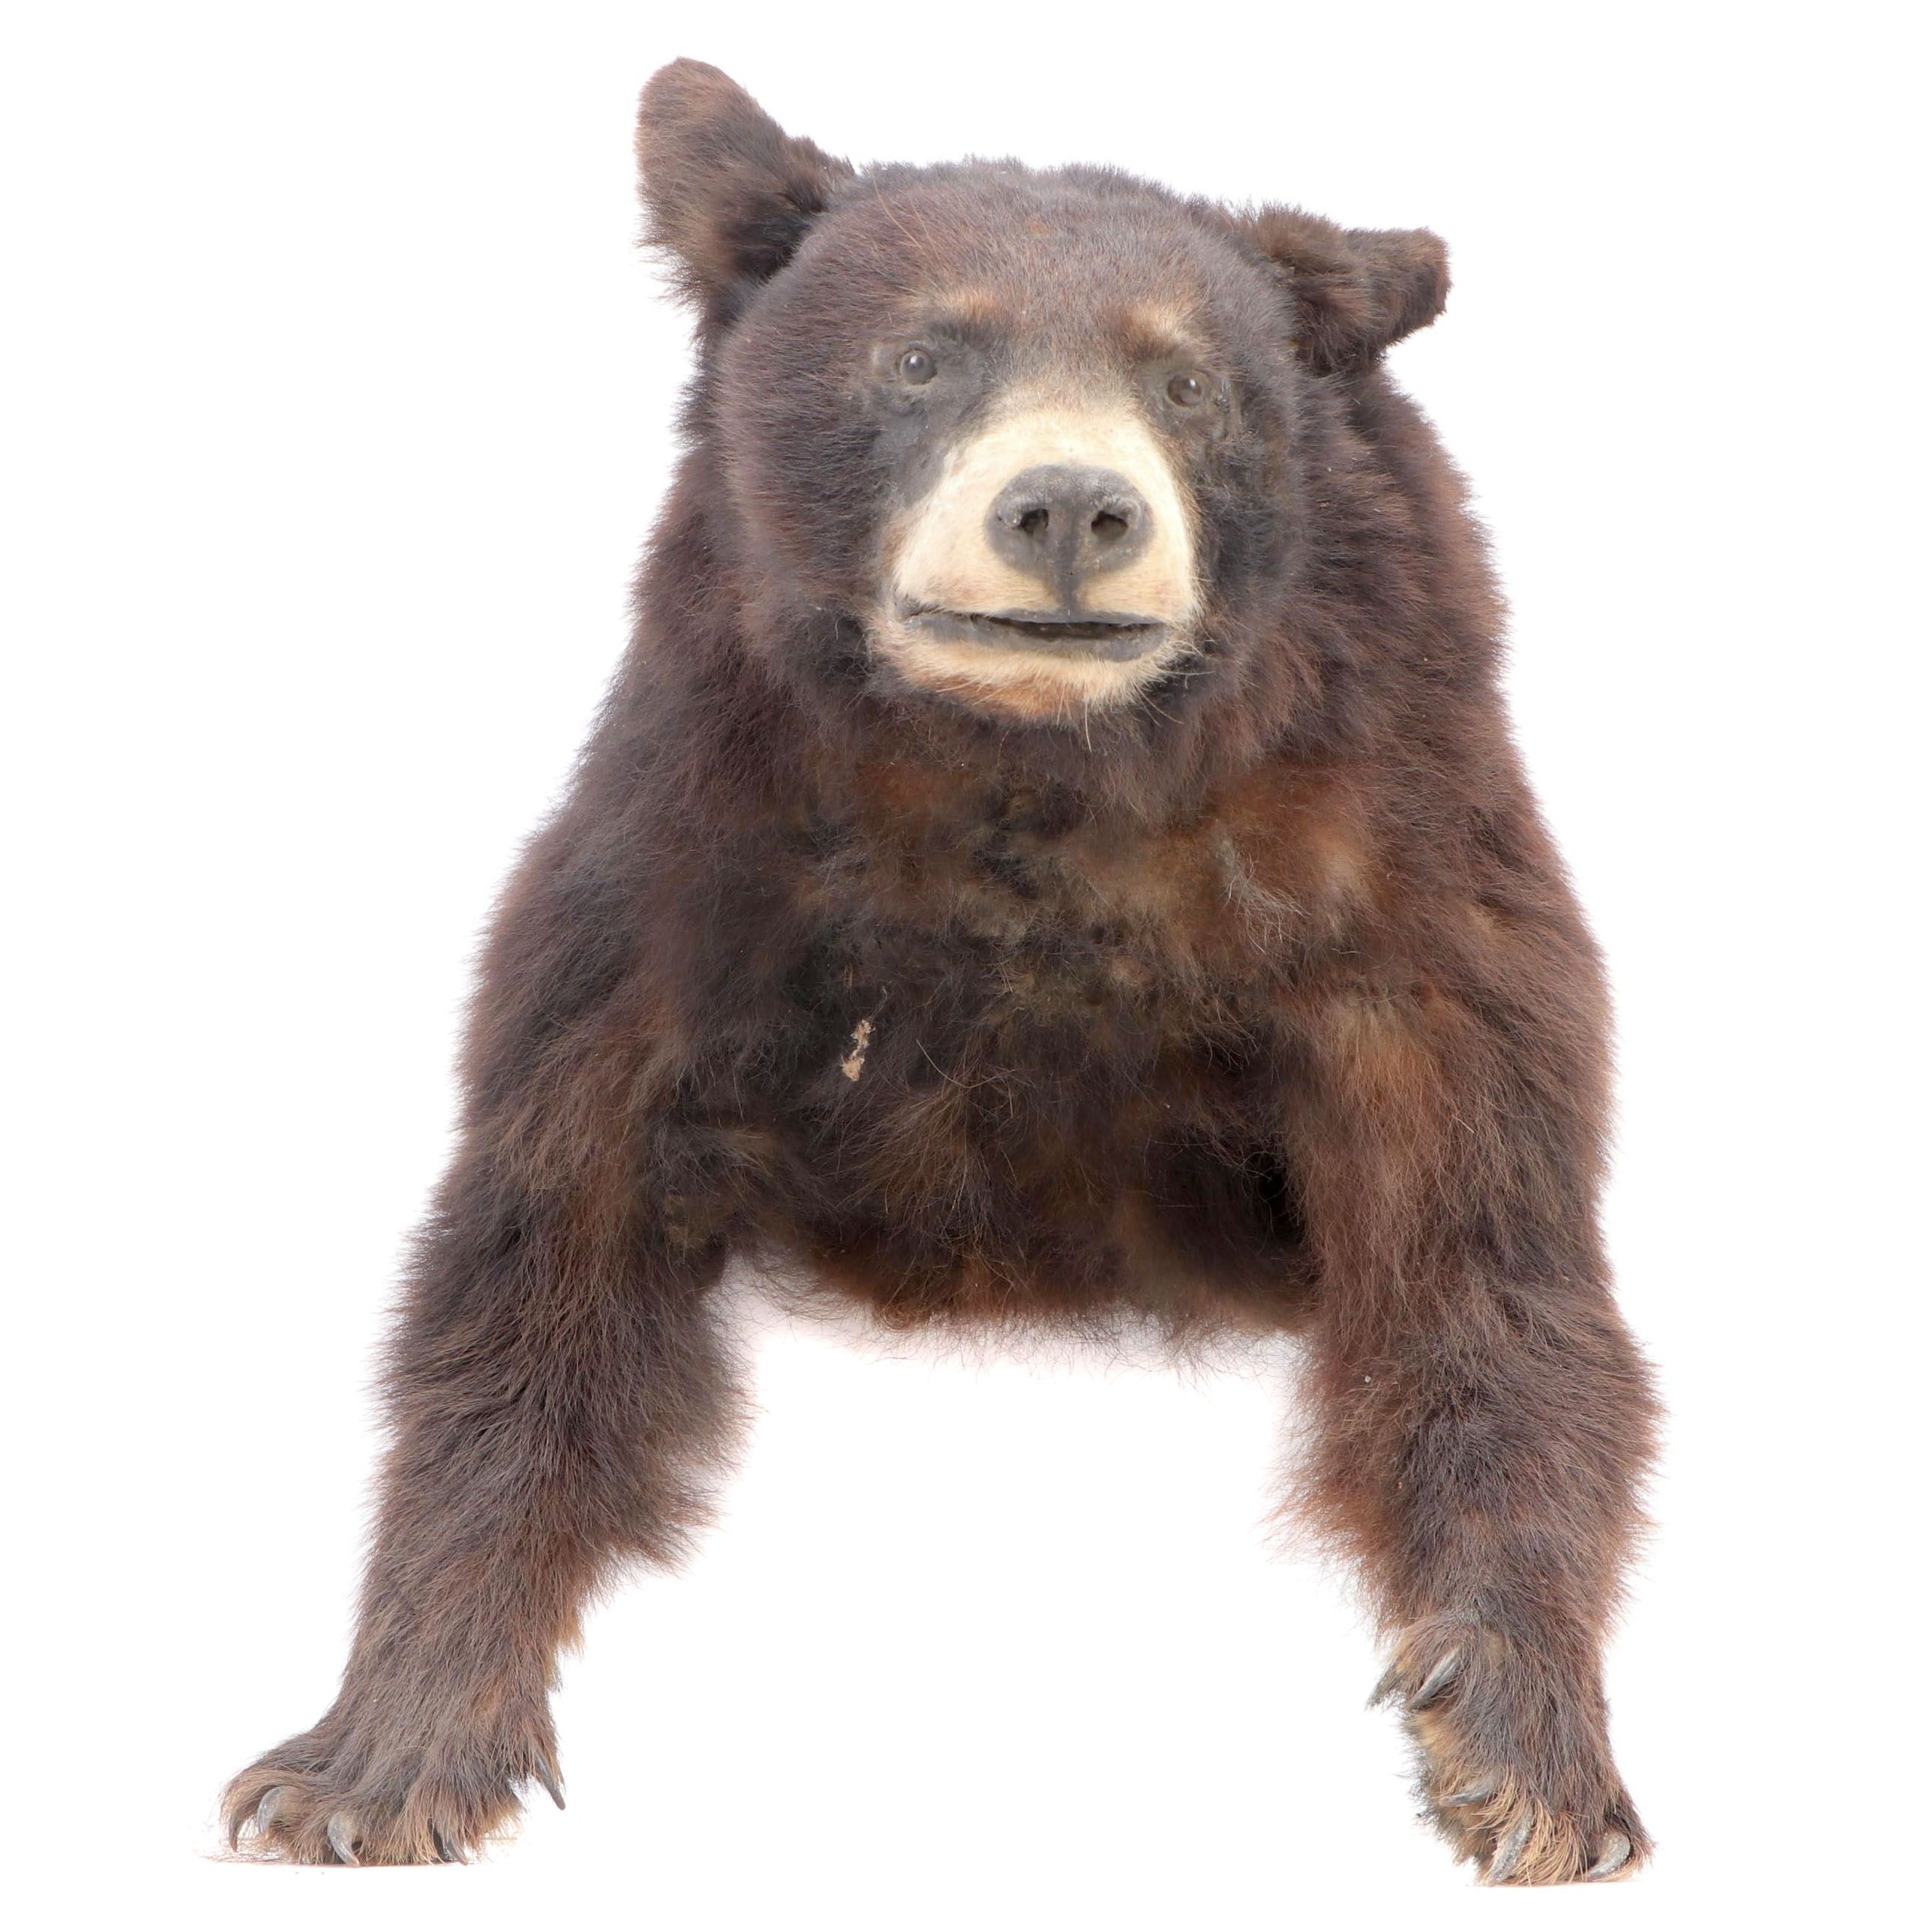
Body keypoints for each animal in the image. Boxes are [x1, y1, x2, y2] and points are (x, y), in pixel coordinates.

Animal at [222, 59, 1657, 1884]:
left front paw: (1522, 1751)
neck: (1026, 775)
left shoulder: (1392, 886)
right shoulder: (690, 879)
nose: (1069, 508)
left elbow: (1486, 1264)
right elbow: (544, 1257)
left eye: (1185, 377)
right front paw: (370, 1758)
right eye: (922, 354)